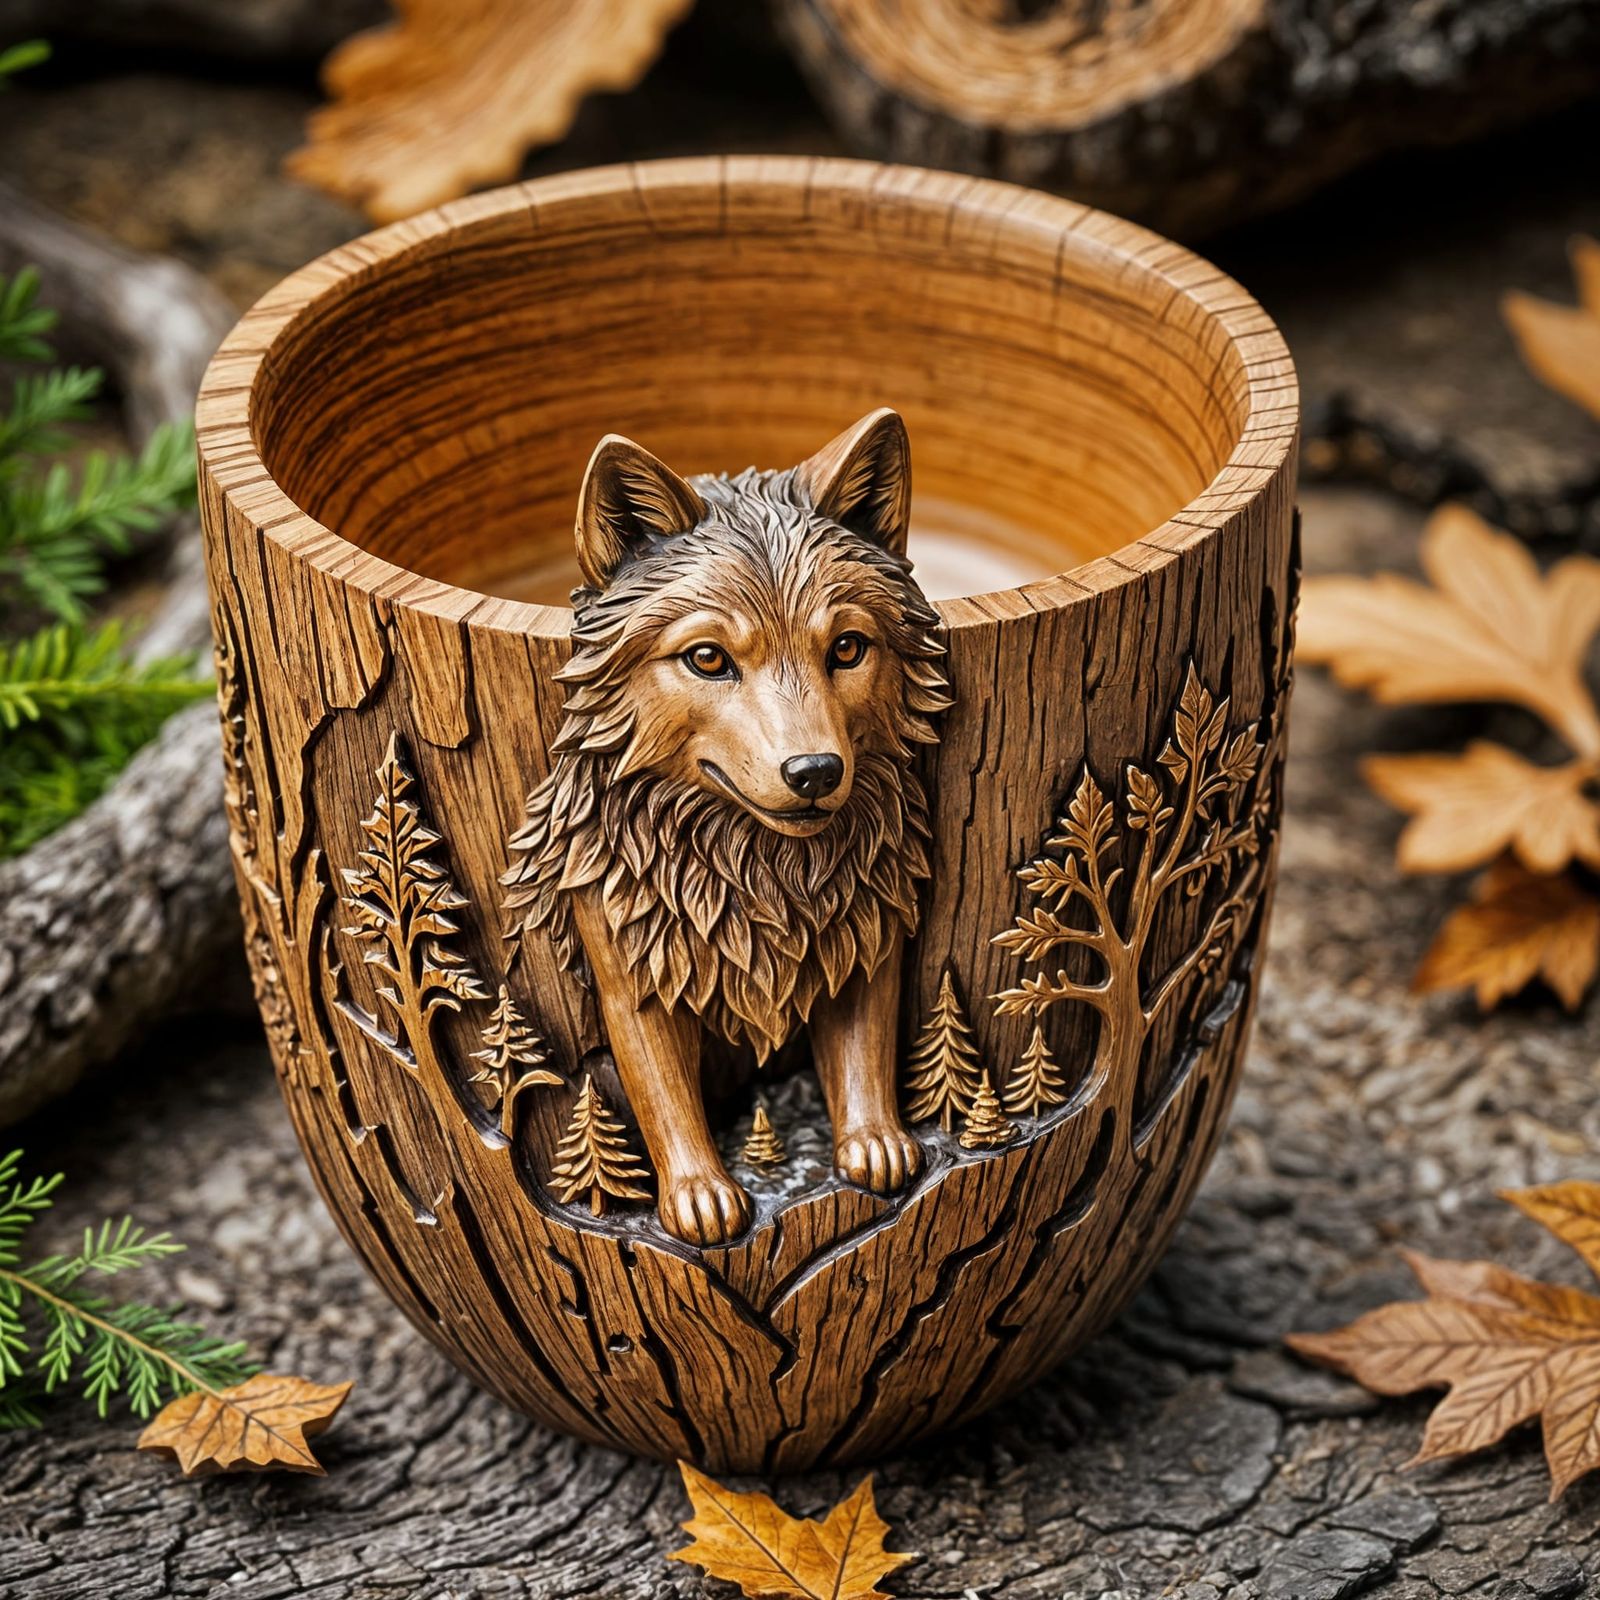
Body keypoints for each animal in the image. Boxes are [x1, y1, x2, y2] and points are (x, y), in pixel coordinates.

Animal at [503, 409, 953, 1246]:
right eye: (709, 659)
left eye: (847, 648)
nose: (815, 772)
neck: (756, 873)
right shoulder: (631, 981)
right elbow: (665, 1096)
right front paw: (699, 1197)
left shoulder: (867, 943)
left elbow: (862, 1056)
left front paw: (875, 1144)